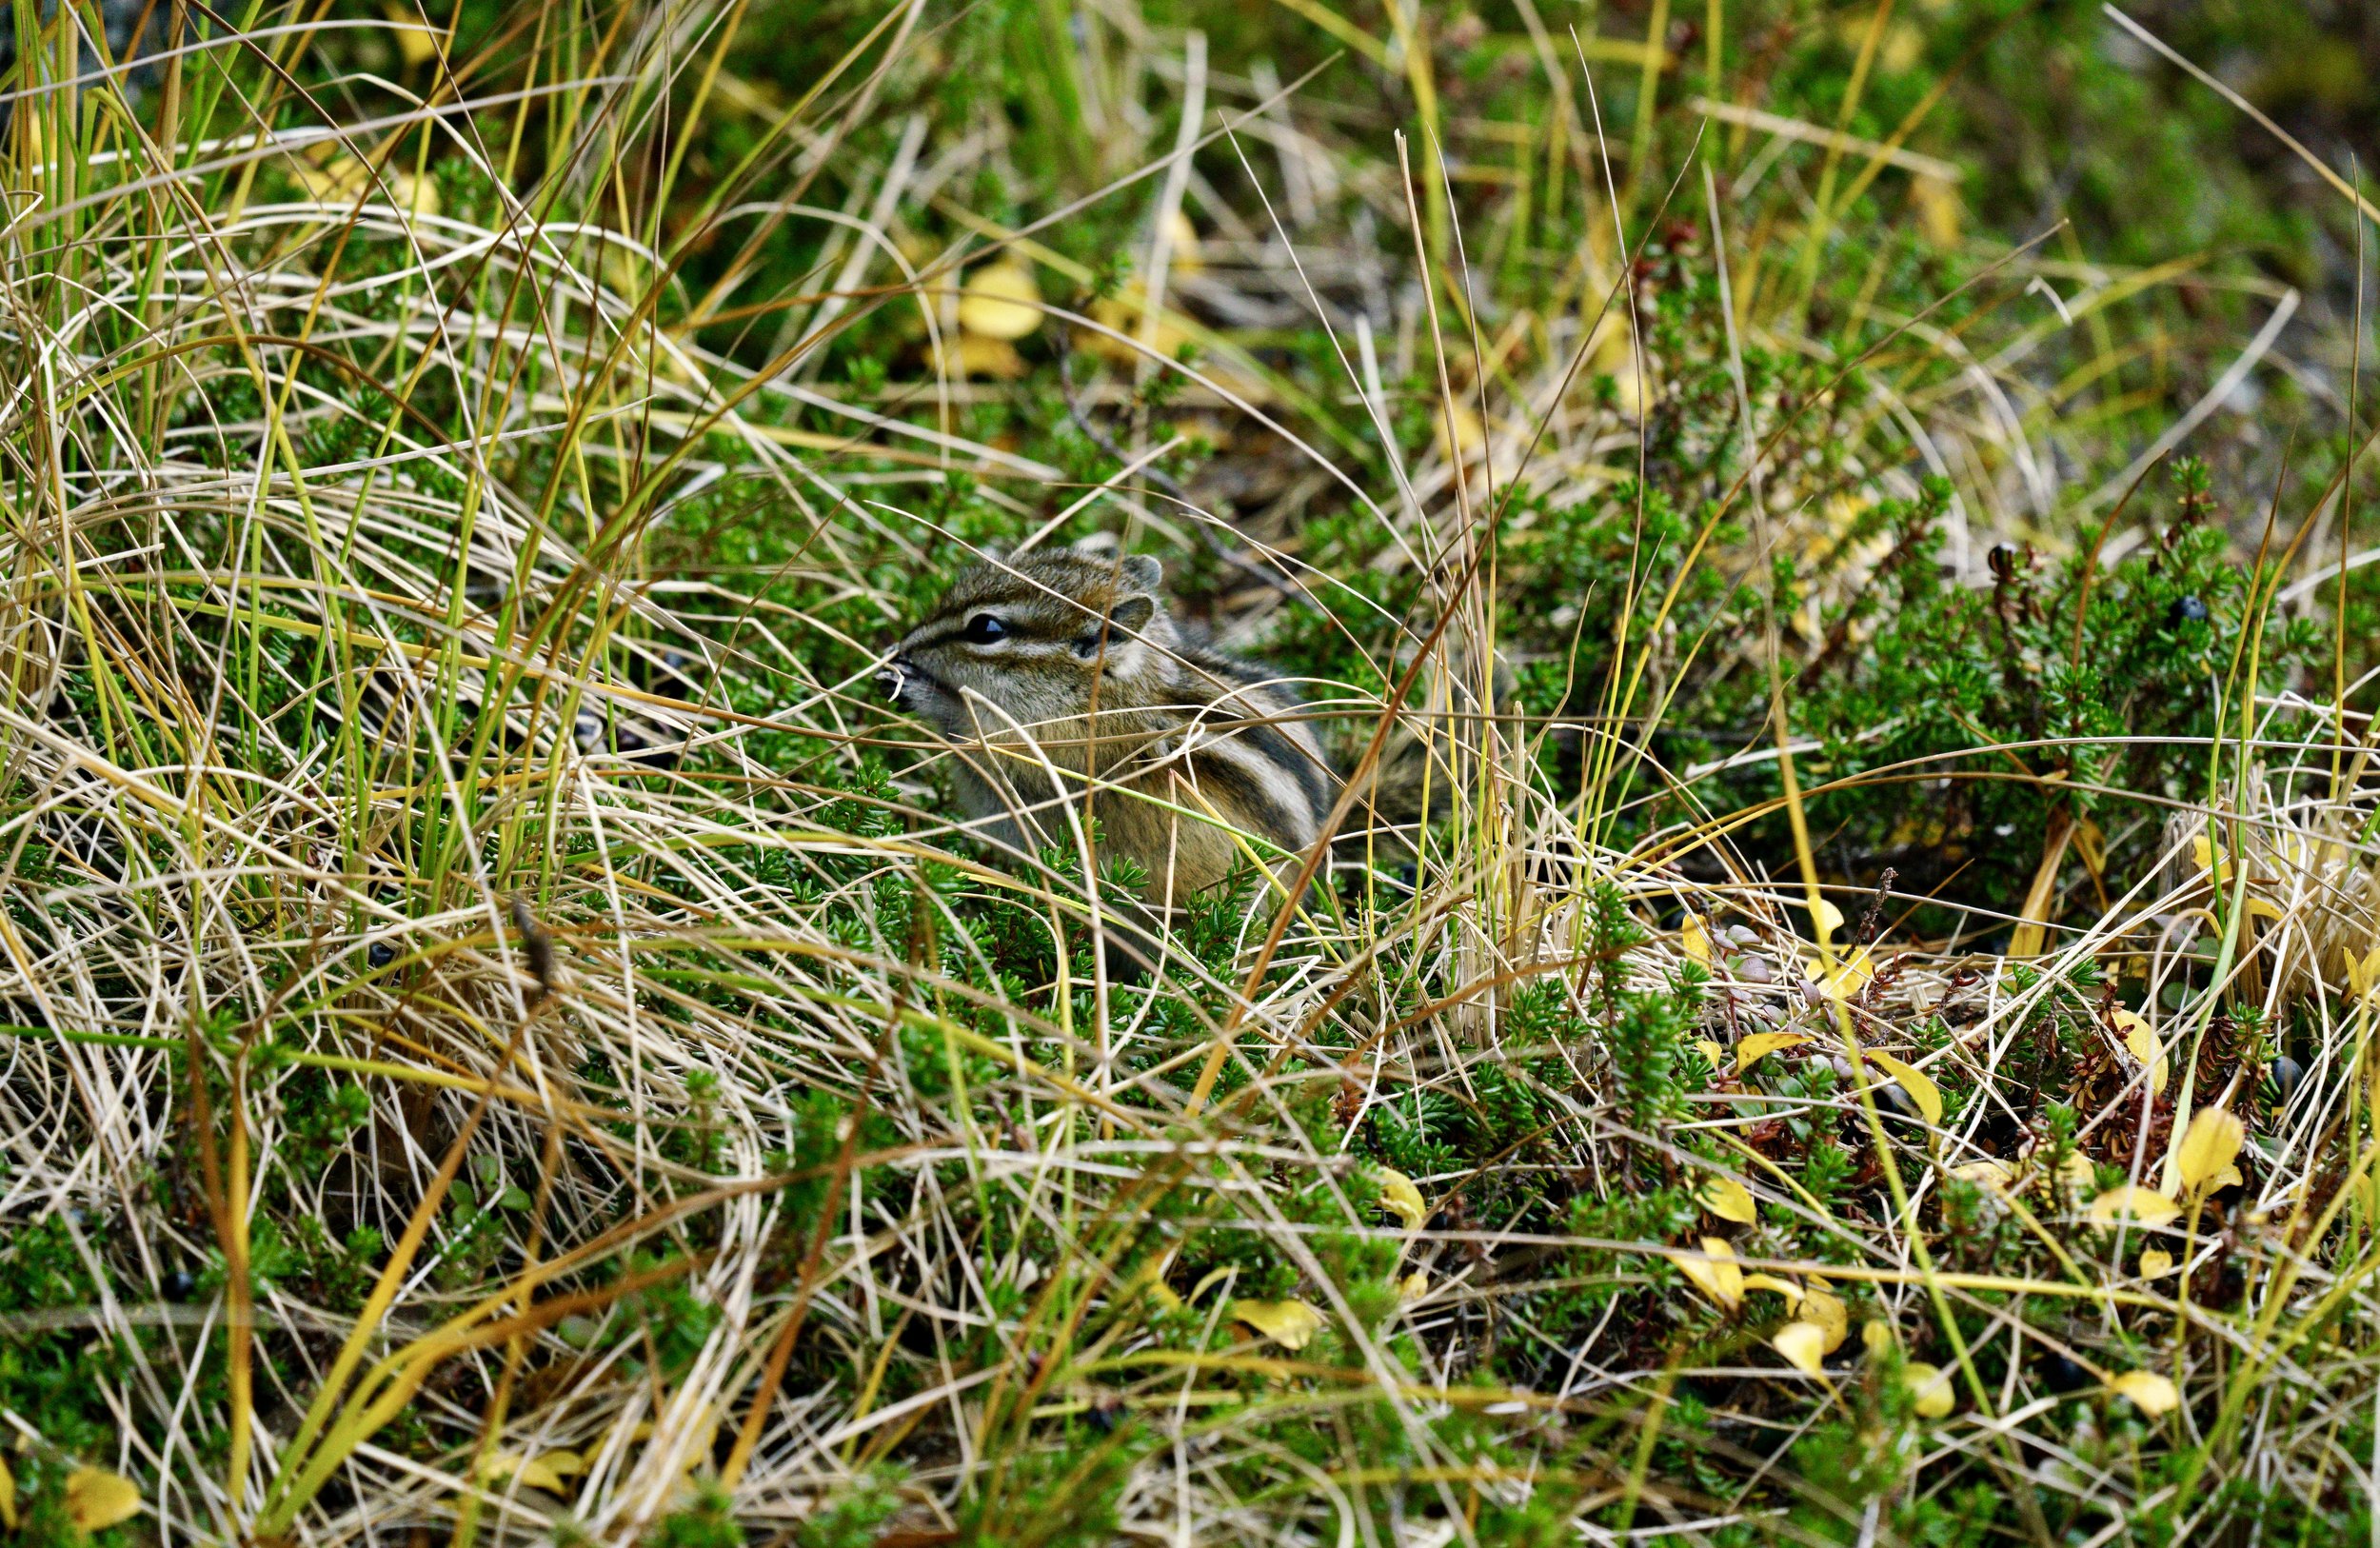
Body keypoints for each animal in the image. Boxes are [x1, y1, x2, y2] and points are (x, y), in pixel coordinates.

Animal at [878, 537, 1501, 918]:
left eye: (985, 629)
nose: (905, 644)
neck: (1099, 699)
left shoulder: (1050, 759)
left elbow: (982, 756)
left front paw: (920, 689)